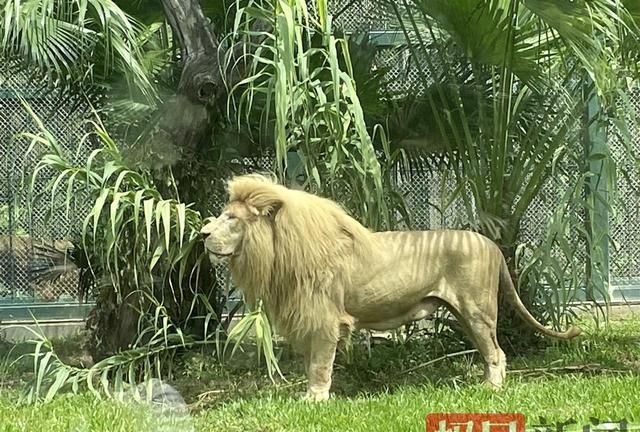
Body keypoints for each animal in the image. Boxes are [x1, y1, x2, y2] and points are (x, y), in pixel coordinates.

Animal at [202, 173, 584, 402]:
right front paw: (310, 396)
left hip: (478, 311)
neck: (277, 252)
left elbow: (320, 365)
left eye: (231, 218)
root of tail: (491, 243)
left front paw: (316, 399)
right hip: (464, 315)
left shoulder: (326, 320)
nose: (203, 234)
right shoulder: (310, 319)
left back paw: (490, 388)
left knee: (497, 353)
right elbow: (312, 362)